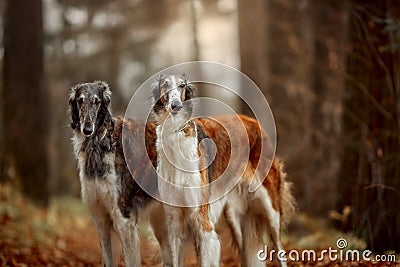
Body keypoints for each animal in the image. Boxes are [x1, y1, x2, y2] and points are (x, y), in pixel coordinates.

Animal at [150, 74, 294, 267]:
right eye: (165, 85)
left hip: (270, 209)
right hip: (235, 216)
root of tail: (254, 121)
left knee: (279, 250)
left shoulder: (202, 220)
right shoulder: (174, 222)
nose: (176, 105)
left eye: (182, 86)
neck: (177, 134)